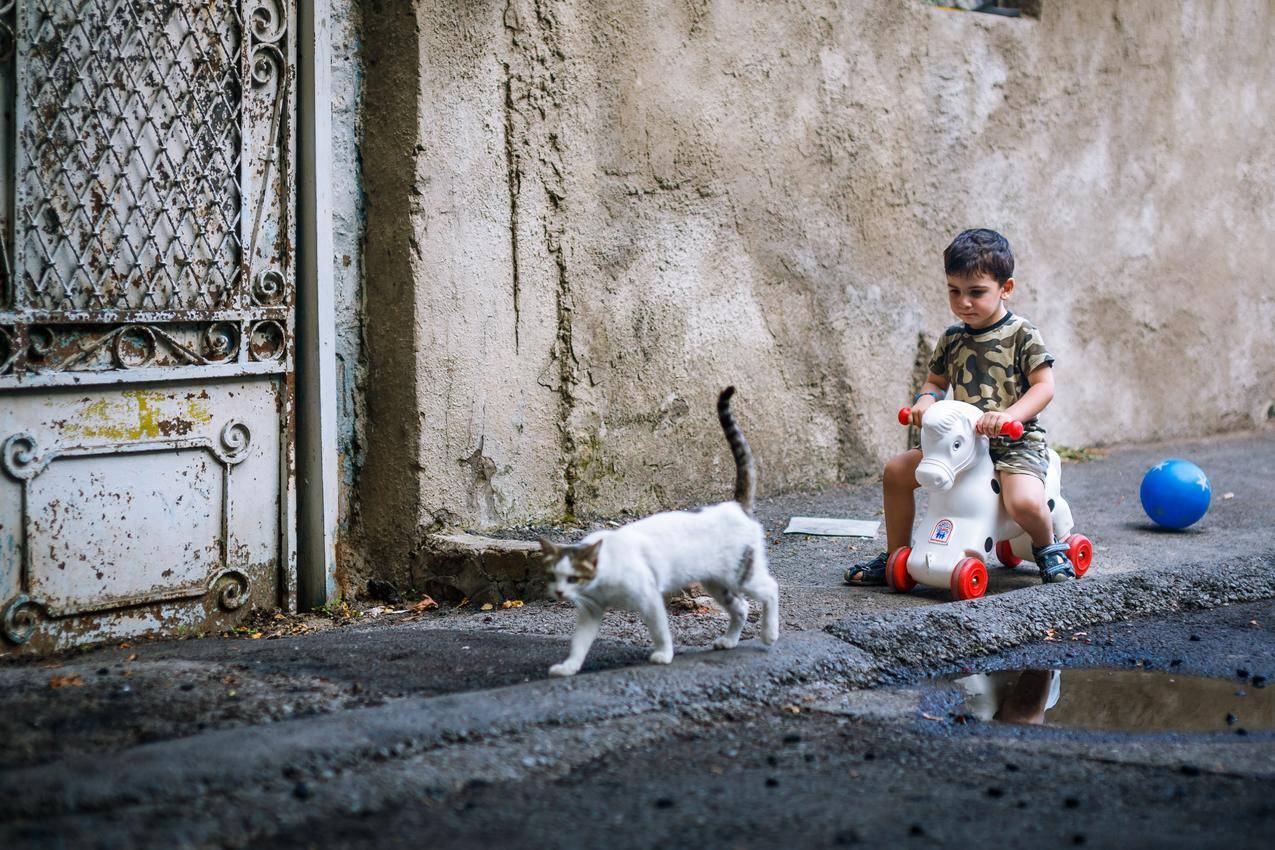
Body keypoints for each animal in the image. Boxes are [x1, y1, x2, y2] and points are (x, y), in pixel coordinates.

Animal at [535, 389, 775, 677]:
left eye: (572, 578)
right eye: (552, 576)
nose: (559, 593)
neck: (603, 575)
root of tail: (735, 506)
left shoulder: (649, 597)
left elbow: (660, 630)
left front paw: (663, 654)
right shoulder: (590, 610)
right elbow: (579, 643)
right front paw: (569, 667)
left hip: (741, 574)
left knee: (771, 589)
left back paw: (769, 634)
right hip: (717, 582)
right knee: (741, 607)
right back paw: (729, 641)